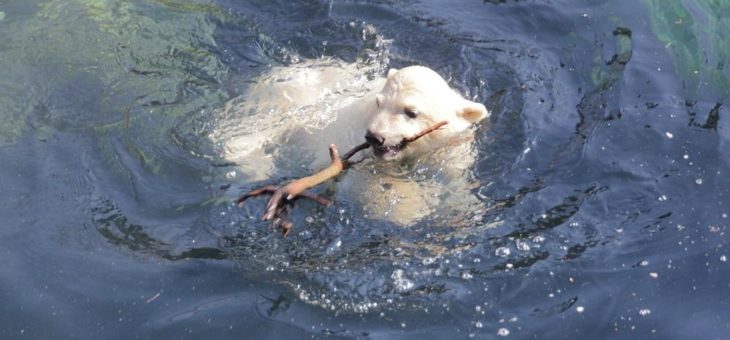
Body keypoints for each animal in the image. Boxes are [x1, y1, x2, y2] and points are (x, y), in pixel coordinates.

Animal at [213, 59, 492, 226]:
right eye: (380, 103)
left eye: (411, 112)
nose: (374, 136)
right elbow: (373, 183)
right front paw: (413, 206)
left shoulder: (451, 146)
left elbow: (456, 177)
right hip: (284, 102)